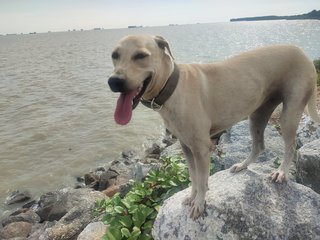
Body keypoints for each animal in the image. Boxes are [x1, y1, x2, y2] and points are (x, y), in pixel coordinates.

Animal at [108, 34, 320, 220]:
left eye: (141, 55)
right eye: (114, 55)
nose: (113, 81)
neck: (173, 88)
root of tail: (302, 52)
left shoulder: (201, 148)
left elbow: (202, 180)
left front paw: (199, 204)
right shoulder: (186, 147)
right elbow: (194, 177)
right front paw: (192, 197)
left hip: (290, 112)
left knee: (291, 146)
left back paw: (281, 172)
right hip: (258, 115)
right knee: (259, 145)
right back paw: (242, 166)